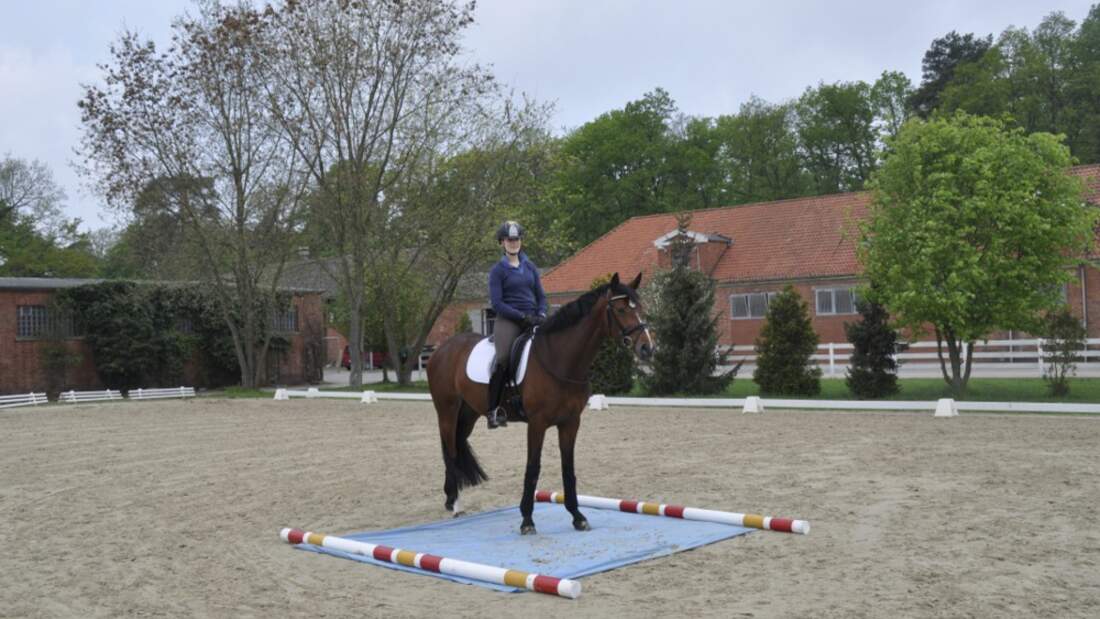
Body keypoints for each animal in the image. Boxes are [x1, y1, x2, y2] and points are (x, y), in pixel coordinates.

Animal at [426, 272, 653, 535]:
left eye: (641, 308)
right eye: (620, 309)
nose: (647, 348)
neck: (559, 359)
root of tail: (441, 349)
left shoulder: (570, 422)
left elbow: (568, 468)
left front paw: (577, 516)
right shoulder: (537, 423)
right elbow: (533, 467)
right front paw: (527, 520)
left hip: (469, 413)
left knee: (455, 445)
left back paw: (451, 499)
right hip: (447, 411)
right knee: (450, 451)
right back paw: (455, 504)